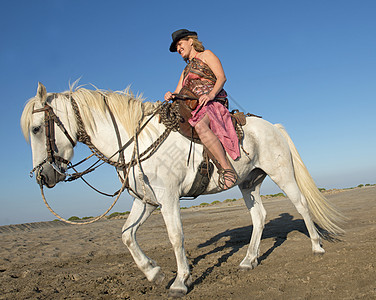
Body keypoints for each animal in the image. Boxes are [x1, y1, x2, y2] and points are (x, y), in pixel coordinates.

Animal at [20, 83, 344, 296]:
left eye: (36, 129)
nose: (43, 176)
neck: (135, 141)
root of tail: (273, 127)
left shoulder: (168, 196)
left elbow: (176, 237)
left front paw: (179, 281)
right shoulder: (145, 200)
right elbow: (126, 235)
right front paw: (153, 272)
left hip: (282, 174)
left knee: (301, 205)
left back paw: (317, 247)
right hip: (248, 183)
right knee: (259, 217)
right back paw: (248, 261)